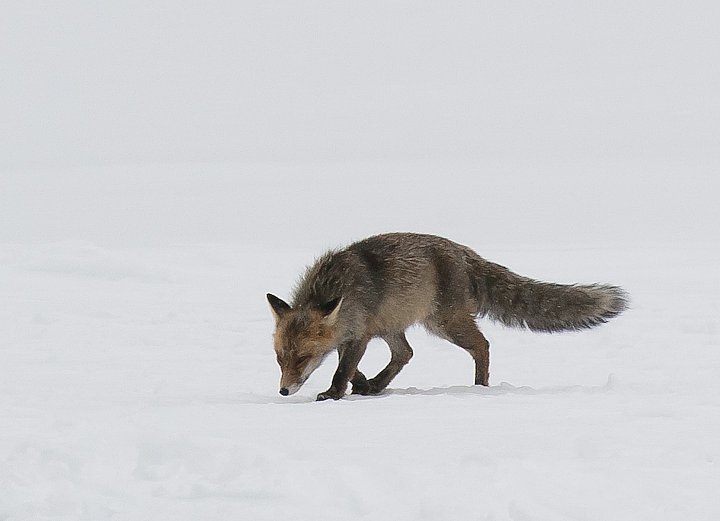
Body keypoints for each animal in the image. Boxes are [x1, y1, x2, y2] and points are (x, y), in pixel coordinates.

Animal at [266, 232, 628, 401]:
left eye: (302, 358)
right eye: (281, 358)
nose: (283, 391)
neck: (336, 287)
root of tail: (466, 252)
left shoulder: (360, 333)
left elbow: (342, 370)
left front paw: (333, 394)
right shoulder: (358, 332)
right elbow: (350, 367)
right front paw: (364, 384)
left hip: (445, 323)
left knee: (482, 345)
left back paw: (480, 388)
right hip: (395, 325)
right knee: (406, 353)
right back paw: (378, 385)